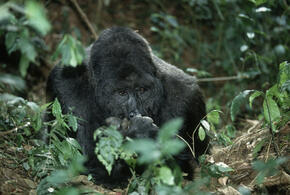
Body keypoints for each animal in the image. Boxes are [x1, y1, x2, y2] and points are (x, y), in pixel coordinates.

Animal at [46, 26, 208, 187]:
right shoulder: (66, 87)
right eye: (121, 93)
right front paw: (138, 134)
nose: (133, 113)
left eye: (141, 90)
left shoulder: (186, 96)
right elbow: (85, 161)